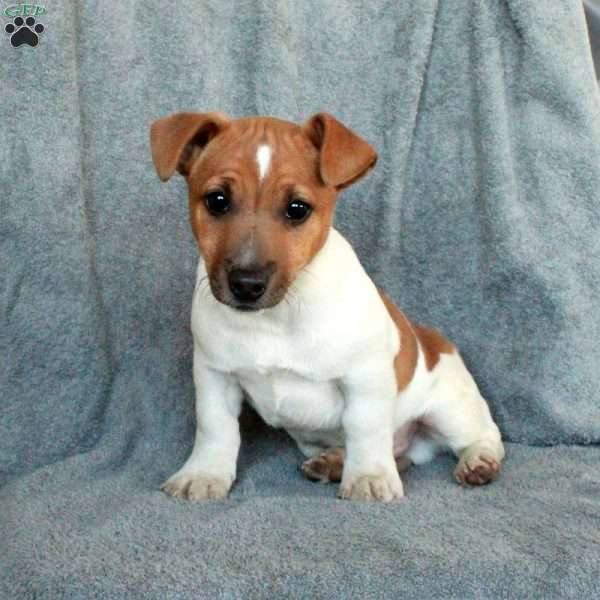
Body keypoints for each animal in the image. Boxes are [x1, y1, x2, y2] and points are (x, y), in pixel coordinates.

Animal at [151, 112, 506, 502]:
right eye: (217, 201)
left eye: (297, 209)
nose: (246, 284)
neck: (275, 318)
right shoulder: (215, 376)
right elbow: (215, 427)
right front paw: (204, 473)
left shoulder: (364, 378)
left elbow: (364, 428)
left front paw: (367, 476)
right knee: (395, 456)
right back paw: (334, 462)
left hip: (451, 409)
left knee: (483, 435)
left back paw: (478, 462)